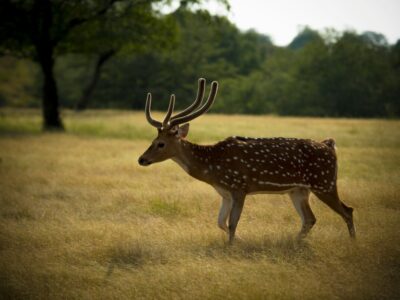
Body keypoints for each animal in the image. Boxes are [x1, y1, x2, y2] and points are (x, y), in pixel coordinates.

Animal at [138, 78, 356, 243]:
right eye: (152, 140)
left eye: (160, 144)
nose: (141, 159)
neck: (212, 168)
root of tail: (330, 145)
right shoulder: (225, 193)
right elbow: (220, 222)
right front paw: (240, 241)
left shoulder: (239, 187)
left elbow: (232, 223)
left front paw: (232, 246)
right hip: (298, 190)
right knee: (310, 219)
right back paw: (293, 243)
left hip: (324, 182)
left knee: (347, 210)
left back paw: (353, 243)